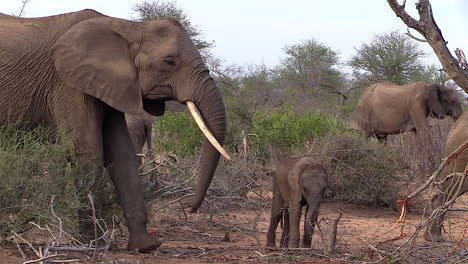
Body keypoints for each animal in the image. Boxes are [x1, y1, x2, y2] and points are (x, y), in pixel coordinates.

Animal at [0, 8, 230, 252]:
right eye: (169, 62)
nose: (189, 207)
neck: (130, 28)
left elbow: (122, 153)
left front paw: (145, 246)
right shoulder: (68, 84)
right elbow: (87, 150)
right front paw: (94, 246)